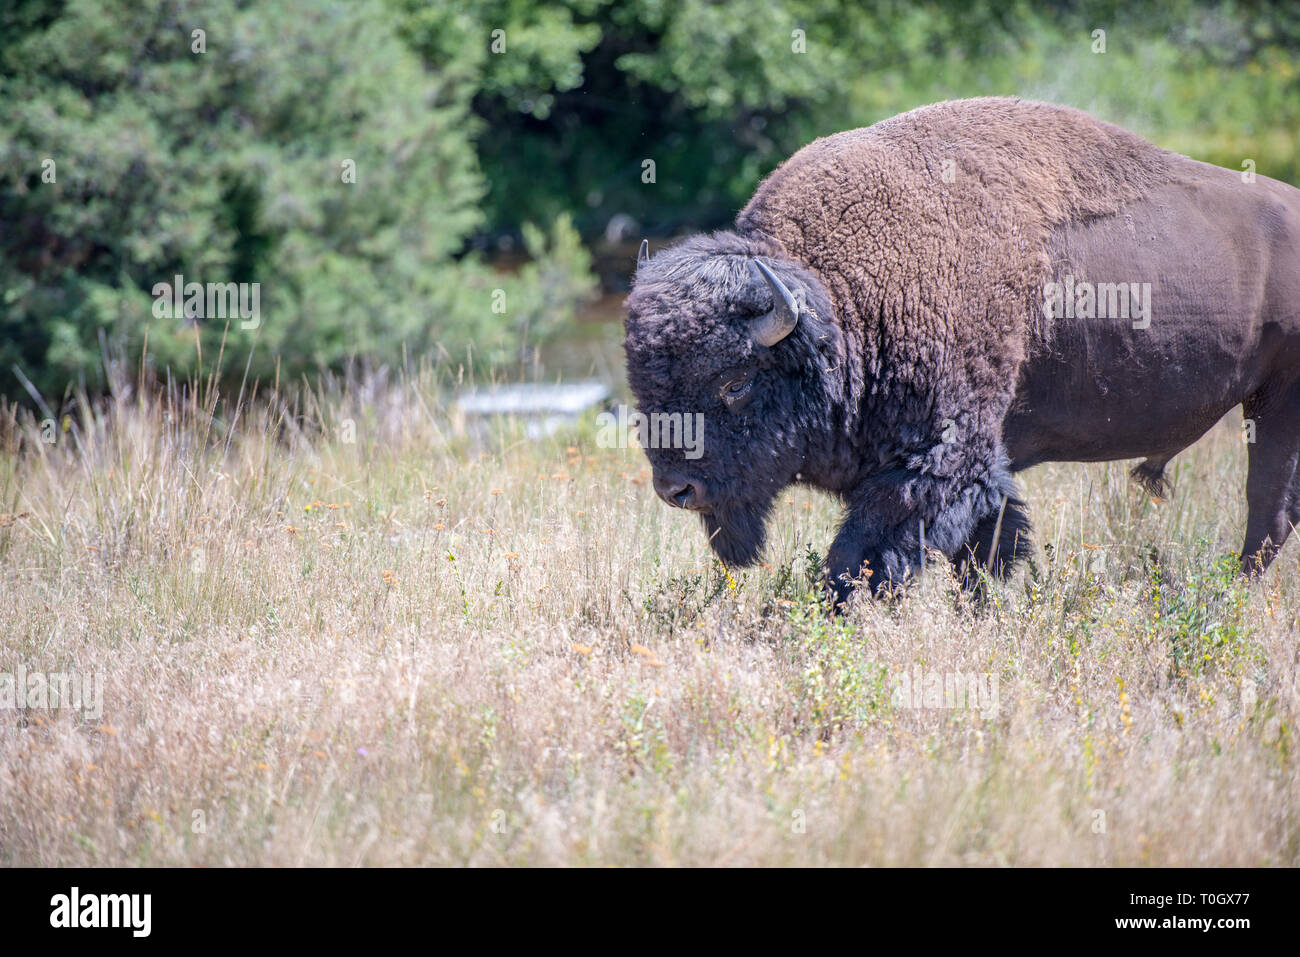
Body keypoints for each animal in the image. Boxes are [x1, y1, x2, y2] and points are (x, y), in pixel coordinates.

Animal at [623, 97, 1300, 607]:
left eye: (734, 384)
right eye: (642, 386)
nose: (675, 489)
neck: (844, 304)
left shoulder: (935, 461)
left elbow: (861, 555)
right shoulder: (972, 467)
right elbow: (989, 544)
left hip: (1278, 404)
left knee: (1265, 509)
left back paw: (1229, 600)